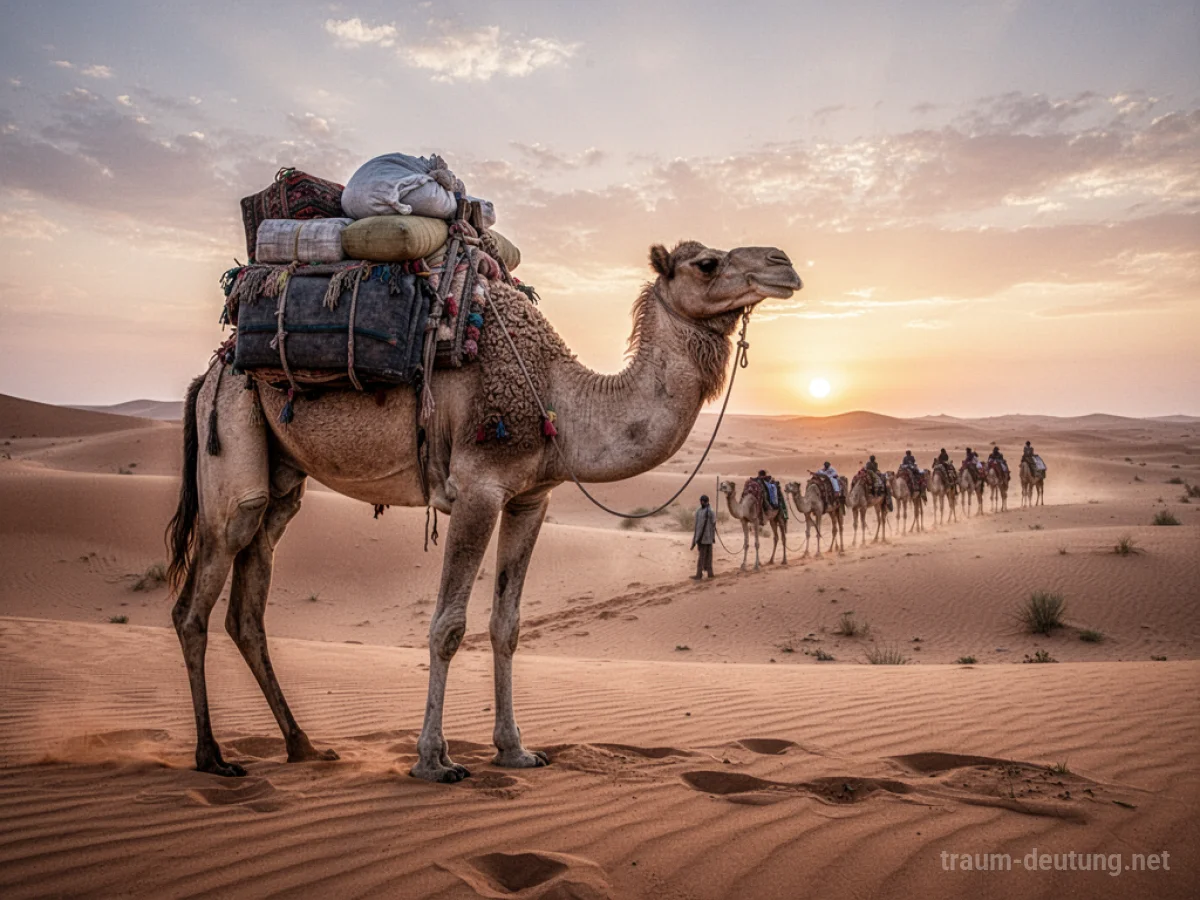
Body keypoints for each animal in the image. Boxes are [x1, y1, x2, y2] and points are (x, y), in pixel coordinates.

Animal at [166, 240, 800, 782]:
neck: (559, 400)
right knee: (195, 602)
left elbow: (507, 625)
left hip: (281, 477)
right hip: (233, 439)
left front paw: (515, 750)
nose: (785, 263)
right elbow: (448, 626)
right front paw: (434, 760)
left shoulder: (529, 498)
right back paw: (212, 756)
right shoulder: (478, 487)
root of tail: (209, 373)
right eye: (708, 264)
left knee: (248, 604)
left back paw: (303, 745)